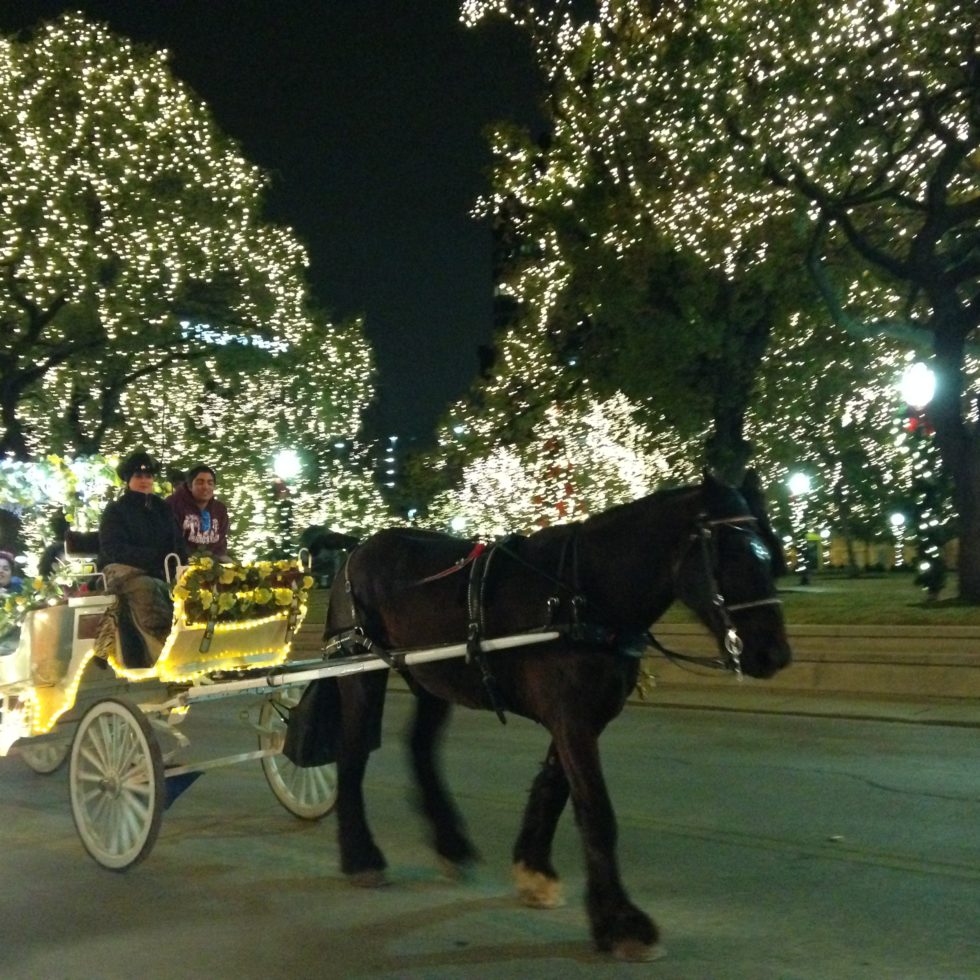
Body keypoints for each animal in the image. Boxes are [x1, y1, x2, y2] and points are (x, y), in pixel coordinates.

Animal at [312, 470, 788, 960]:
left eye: (769, 554)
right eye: (728, 554)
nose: (772, 654)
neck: (584, 596)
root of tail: (355, 551)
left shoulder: (581, 716)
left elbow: (553, 789)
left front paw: (535, 871)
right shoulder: (572, 717)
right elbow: (595, 812)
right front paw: (621, 921)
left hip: (432, 680)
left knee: (420, 749)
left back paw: (452, 845)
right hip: (359, 672)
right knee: (352, 755)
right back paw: (361, 856)